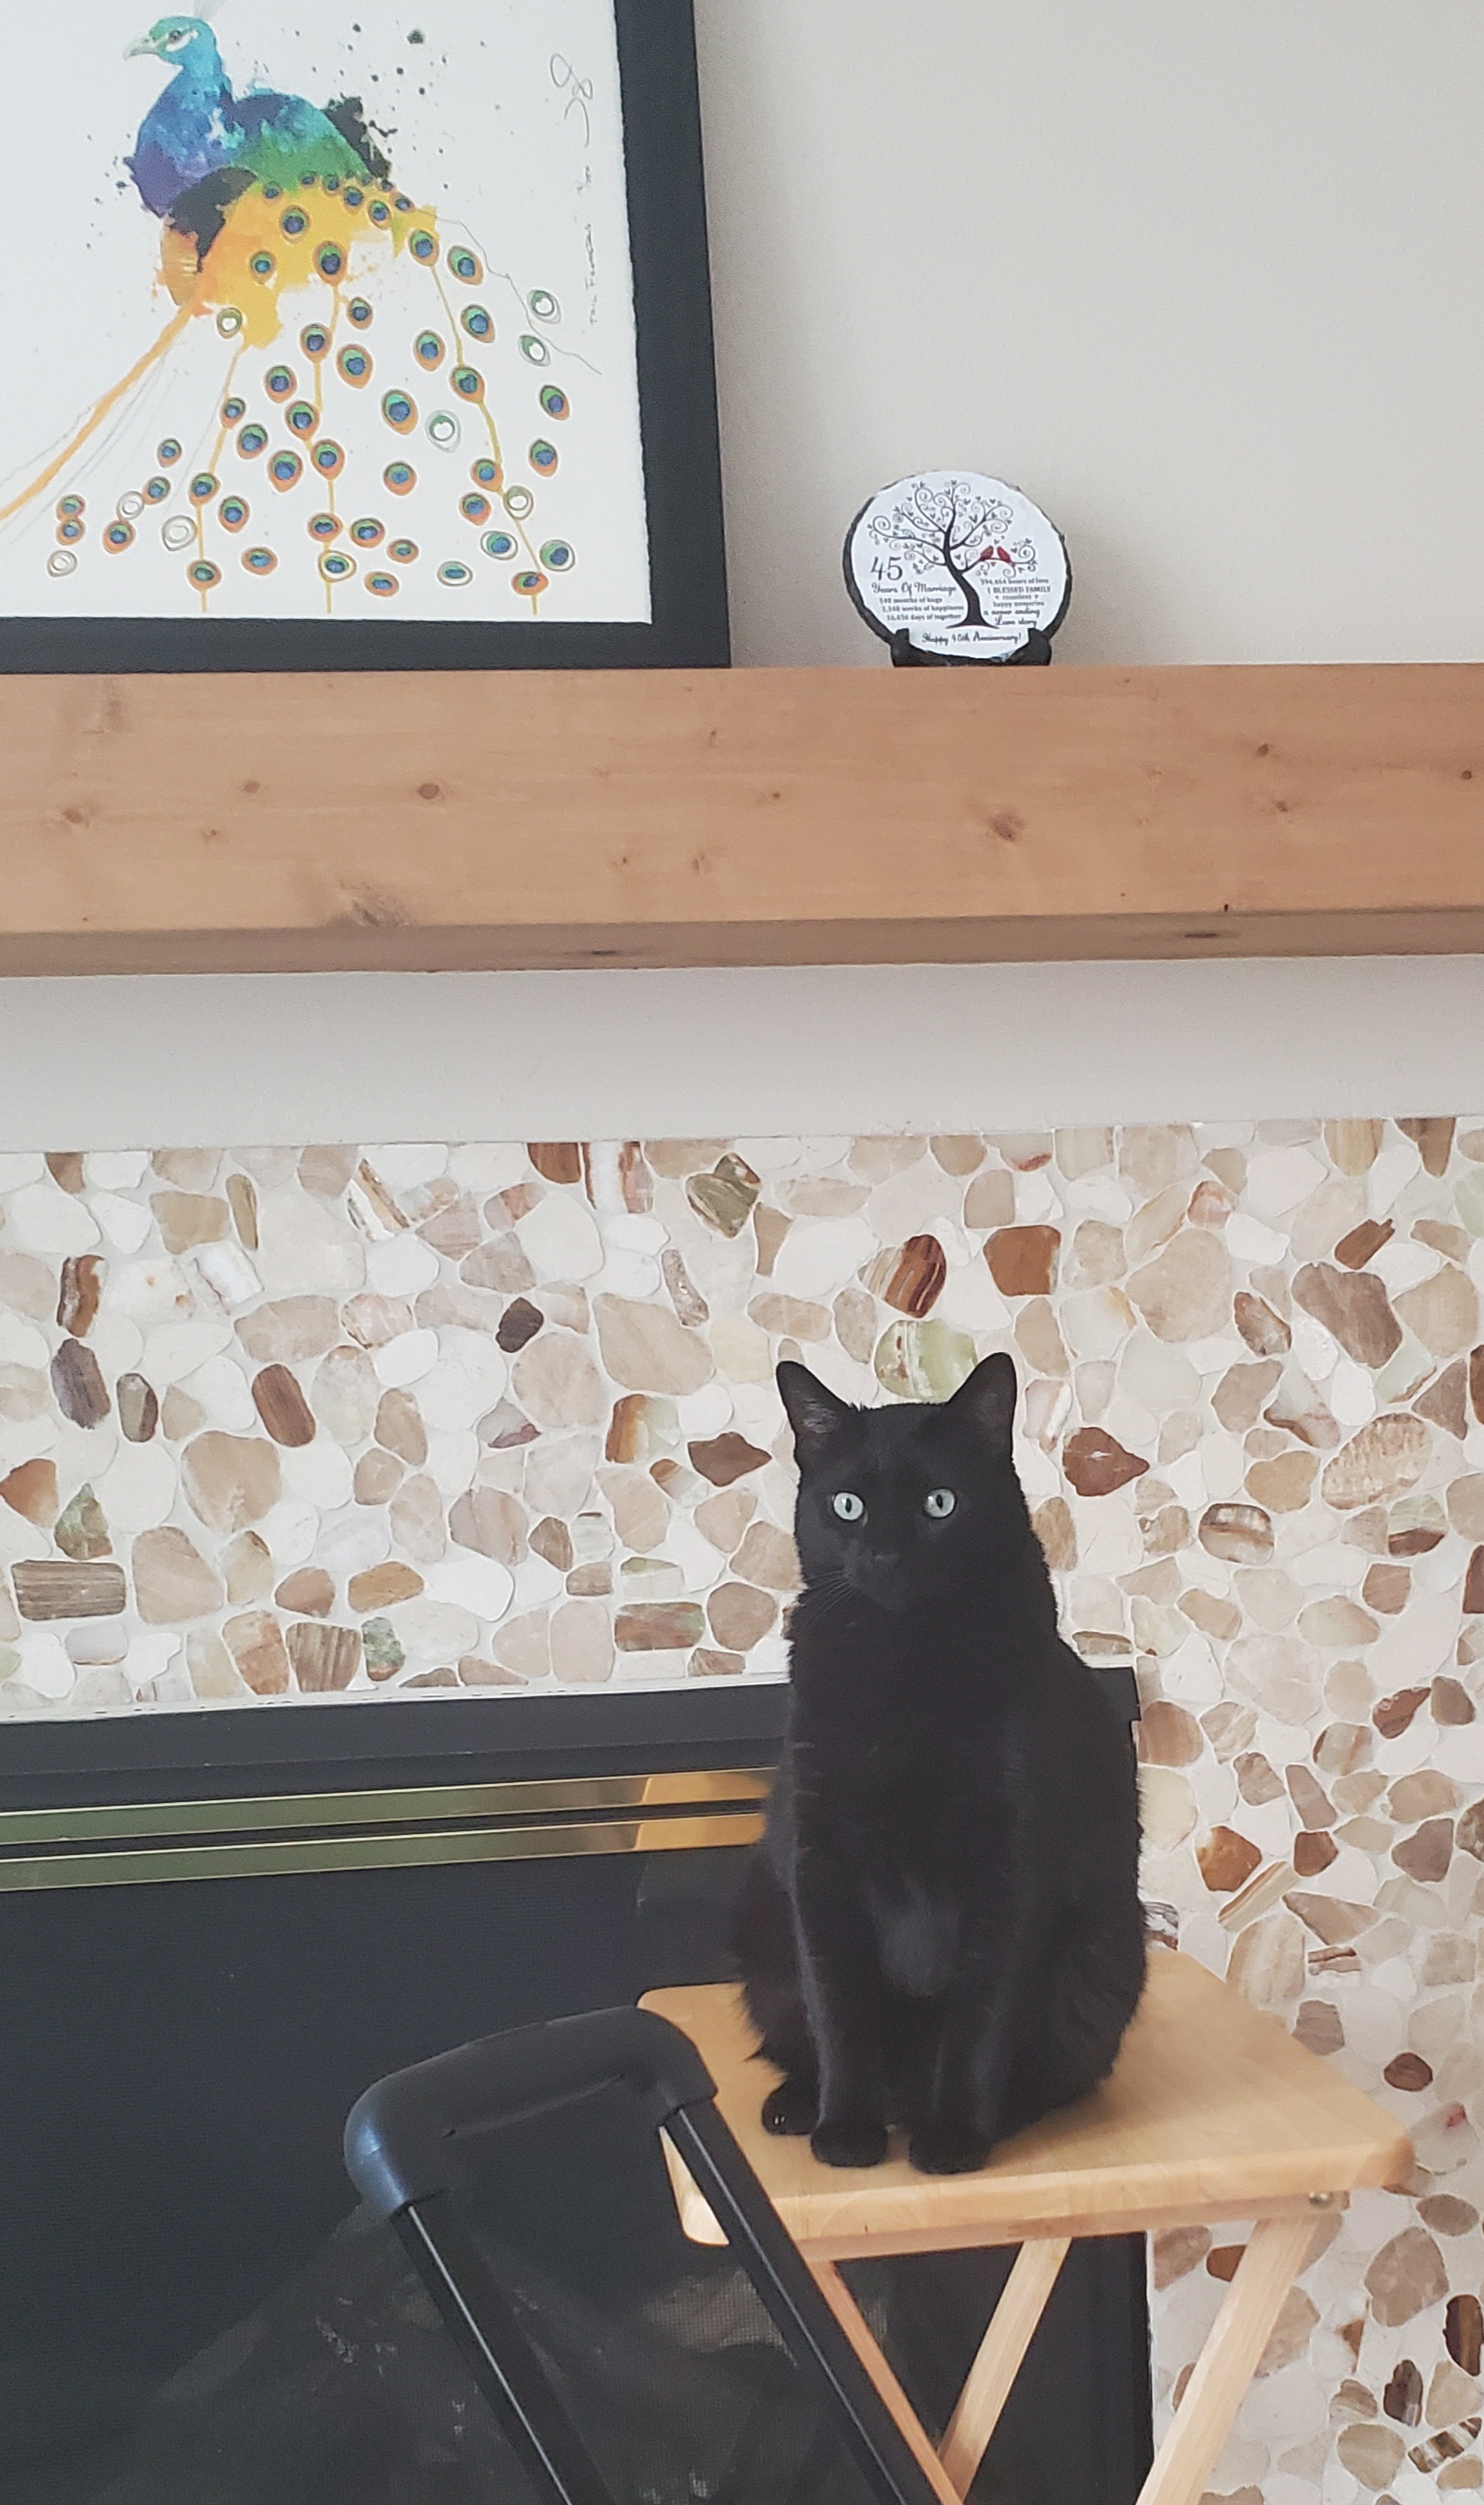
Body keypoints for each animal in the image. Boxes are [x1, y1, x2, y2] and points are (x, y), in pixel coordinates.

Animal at [733, 1352, 1146, 2177]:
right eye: (849, 1506)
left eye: (940, 1504)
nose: (887, 1556)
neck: (905, 1663)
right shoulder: (821, 1861)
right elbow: (840, 2011)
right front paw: (846, 2130)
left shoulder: (1010, 1865)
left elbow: (979, 2020)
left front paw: (953, 2135)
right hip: (762, 1927)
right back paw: (800, 2105)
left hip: (1107, 1952)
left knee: (1060, 2071)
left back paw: (996, 2114)